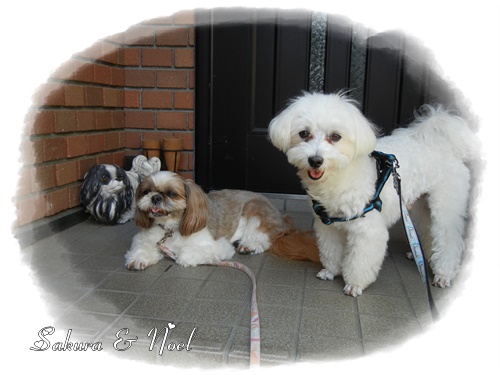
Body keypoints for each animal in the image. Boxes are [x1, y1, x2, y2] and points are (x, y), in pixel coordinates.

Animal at [126, 170, 320, 270]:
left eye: (172, 194)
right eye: (146, 191)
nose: (155, 197)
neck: (170, 228)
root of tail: (282, 219)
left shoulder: (215, 247)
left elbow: (184, 256)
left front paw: (180, 256)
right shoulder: (145, 238)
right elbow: (141, 247)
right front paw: (139, 259)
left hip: (255, 211)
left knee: (264, 238)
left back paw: (249, 246)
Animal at [268, 92, 478, 296]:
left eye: (336, 136)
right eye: (304, 133)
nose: (315, 160)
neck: (341, 176)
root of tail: (443, 143)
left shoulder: (368, 229)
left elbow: (360, 260)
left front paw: (354, 285)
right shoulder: (329, 226)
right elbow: (331, 250)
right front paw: (331, 271)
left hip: (446, 204)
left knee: (448, 236)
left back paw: (443, 273)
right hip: (420, 204)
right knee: (427, 228)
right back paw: (419, 255)